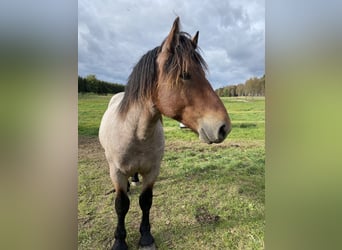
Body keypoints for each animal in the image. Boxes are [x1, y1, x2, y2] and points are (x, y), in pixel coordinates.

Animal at [99, 17, 232, 250]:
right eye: (185, 75)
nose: (223, 127)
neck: (136, 134)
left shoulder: (153, 171)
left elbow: (146, 202)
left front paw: (146, 237)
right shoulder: (116, 172)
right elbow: (121, 205)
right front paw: (120, 240)